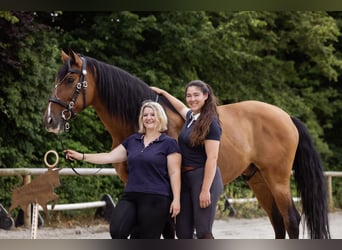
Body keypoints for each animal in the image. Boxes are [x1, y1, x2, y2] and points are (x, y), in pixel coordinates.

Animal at [42, 49, 328, 239]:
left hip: (277, 179)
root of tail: (286, 116)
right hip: (258, 179)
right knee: (278, 223)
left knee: (291, 221)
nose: (50, 120)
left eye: (70, 80)